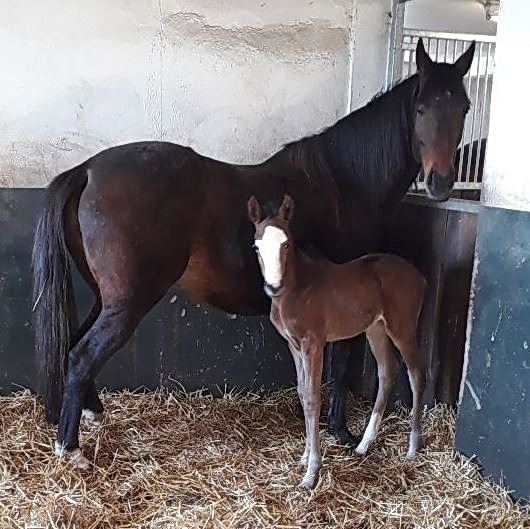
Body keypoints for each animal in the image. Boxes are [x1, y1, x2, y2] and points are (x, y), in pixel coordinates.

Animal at [248, 194, 424, 486]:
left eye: (286, 244)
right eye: (257, 247)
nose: (273, 286)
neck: (297, 289)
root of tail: (419, 276)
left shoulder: (314, 344)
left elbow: (312, 398)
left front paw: (311, 472)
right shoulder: (294, 346)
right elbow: (301, 391)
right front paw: (304, 458)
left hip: (404, 328)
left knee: (416, 375)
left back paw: (412, 448)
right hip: (375, 328)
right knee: (387, 371)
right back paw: (363, 445)